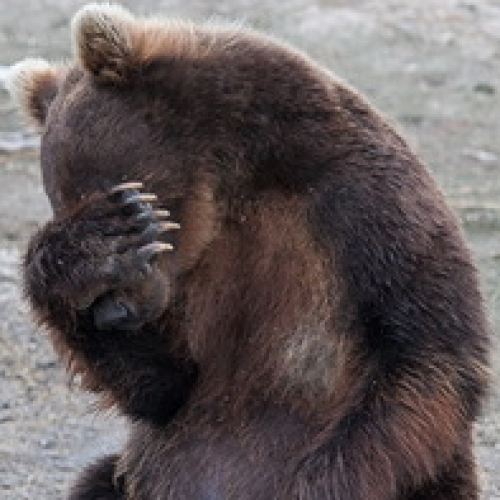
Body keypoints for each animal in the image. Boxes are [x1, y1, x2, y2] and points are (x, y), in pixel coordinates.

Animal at [6, 3, 492, 500]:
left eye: (125, 192)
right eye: (63, 205)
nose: (117, 309)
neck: (233, 184)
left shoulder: (358, 210)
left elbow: (423, 357)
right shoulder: (198, 283)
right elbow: (164, 385)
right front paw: (91, 255)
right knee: (99, 478)